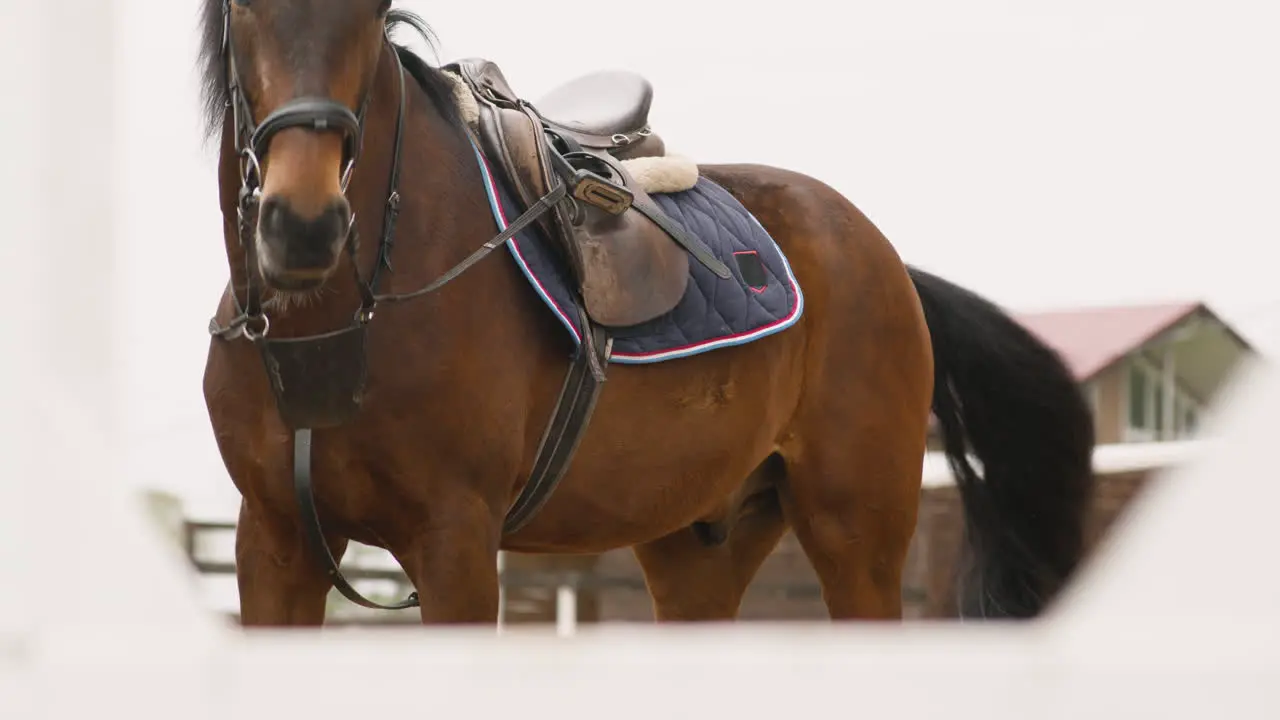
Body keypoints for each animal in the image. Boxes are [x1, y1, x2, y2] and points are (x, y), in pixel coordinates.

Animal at [197, 0, 1090, 625]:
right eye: (244, 7)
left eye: (372, 8)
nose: (304, 222)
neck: (340, 321)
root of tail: (887, 260)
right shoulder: (273, 543)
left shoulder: (455, 542)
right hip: (695, 548)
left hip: (856, 534)